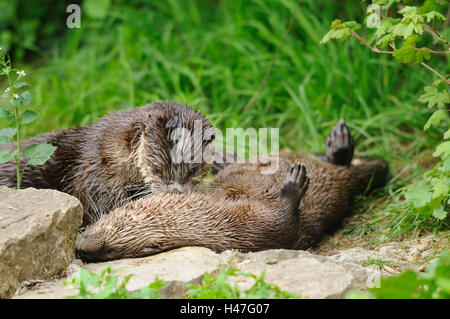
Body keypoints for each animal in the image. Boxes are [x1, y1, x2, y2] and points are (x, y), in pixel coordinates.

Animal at [75, 120, 388, 262]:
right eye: (111, 253)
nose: (81, 249)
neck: (210, 210)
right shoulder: (247, 232)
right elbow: (286, 226)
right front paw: (293, 186)